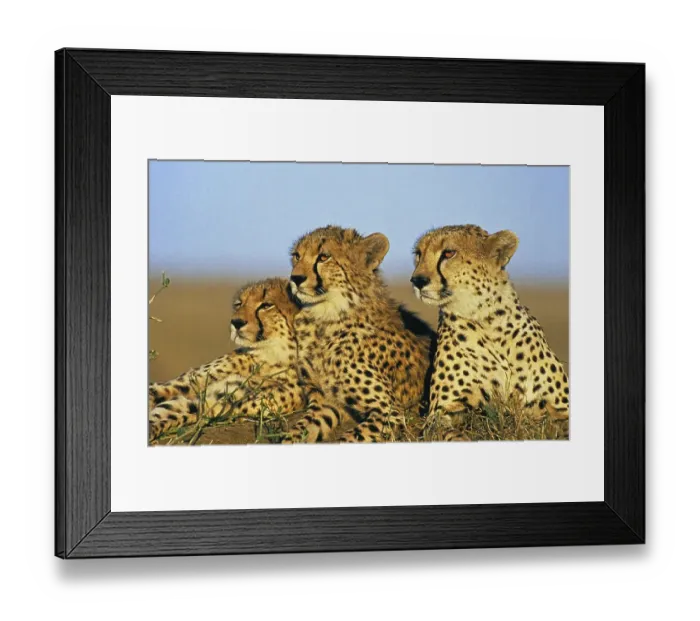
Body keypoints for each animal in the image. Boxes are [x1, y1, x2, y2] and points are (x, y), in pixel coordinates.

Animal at [148, 277, 310, 442]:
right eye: (239, 304)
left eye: (266, 305)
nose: (236, 322)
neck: (270, 356)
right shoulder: (184, 385)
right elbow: (155, 394)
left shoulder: (214, 405)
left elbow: (169, 414)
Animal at [282, 226, 435, 444]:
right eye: (296, 256)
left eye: (324, 257)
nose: (295, 278)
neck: (325, 317)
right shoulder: (324, 402)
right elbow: (295, 434)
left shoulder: (390, 412)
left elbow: (349, 439)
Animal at [411, 224, 569, 440]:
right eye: (419, 254)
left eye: (449, 253)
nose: (417, 280)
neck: (490, 323)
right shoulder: (442, 410)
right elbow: (452, 433)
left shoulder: (559, 408)